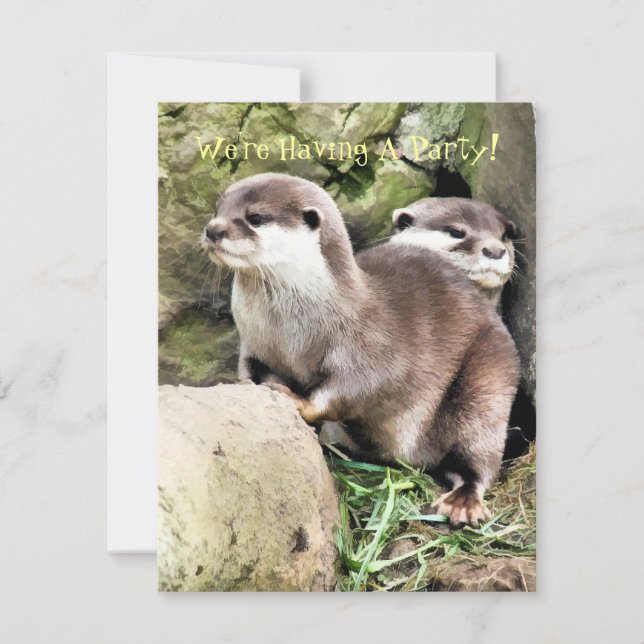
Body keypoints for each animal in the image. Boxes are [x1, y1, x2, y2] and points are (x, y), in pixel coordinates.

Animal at [201, 173, 519, 527]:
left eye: (255, 217)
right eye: (218, 210)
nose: (213, 229)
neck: (290, 332)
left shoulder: (372, 346)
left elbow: (357, 389)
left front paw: (297, 400)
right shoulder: (254, 346)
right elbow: (252, 371)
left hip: (487, 376)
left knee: (479, 450)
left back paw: (462, 501)